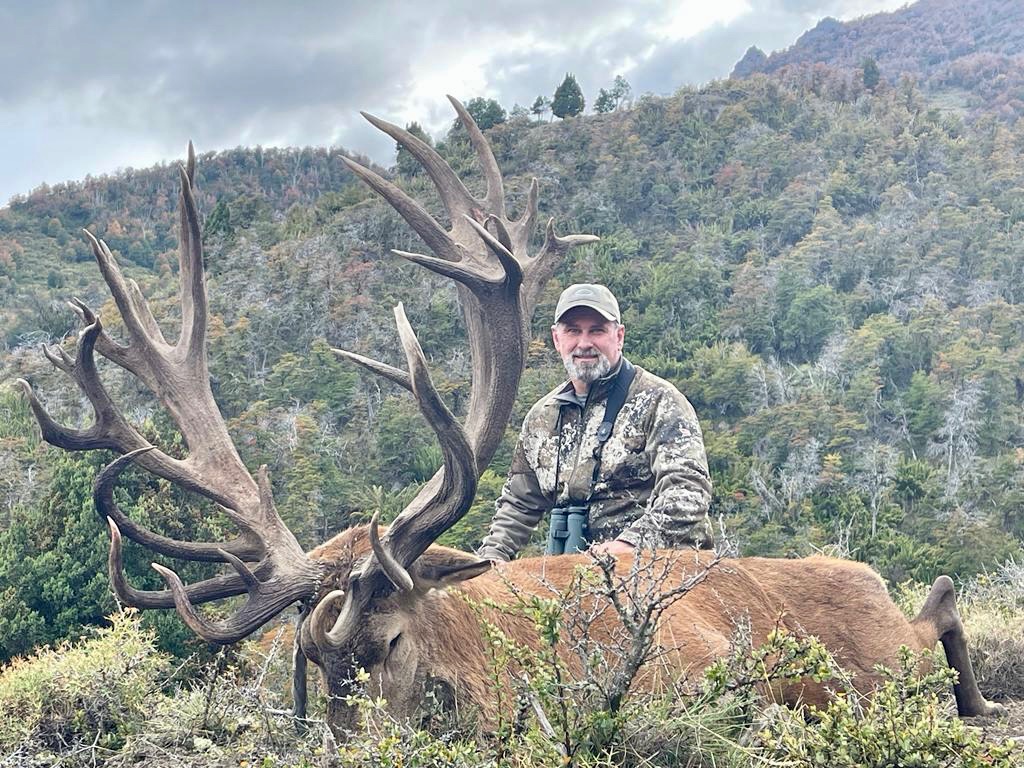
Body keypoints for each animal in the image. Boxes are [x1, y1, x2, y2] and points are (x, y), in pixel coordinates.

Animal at [18, 97, 1003, 740]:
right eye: (312, 667)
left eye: (387, 642)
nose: (356, 742)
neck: (488, 662)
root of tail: (866, 578)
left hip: (881, 663)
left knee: (939, 614)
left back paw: (980, 693)